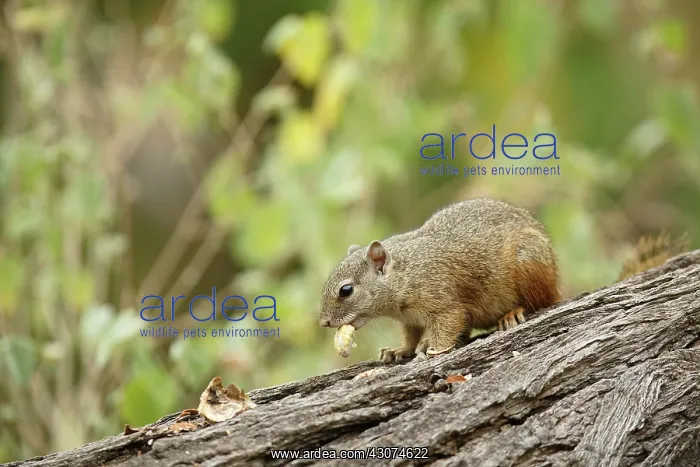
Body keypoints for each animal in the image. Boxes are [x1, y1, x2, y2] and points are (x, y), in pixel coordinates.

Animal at [319, 197, 686, 364]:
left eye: (346, 290)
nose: (324, 323)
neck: (406, 271)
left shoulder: (442, 299)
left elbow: (449, 323)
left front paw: (434, 349)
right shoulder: (410, 319)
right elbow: (409, 337)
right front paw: (400, 350)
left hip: (528, 265)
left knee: (540, 303)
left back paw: (512, 314)